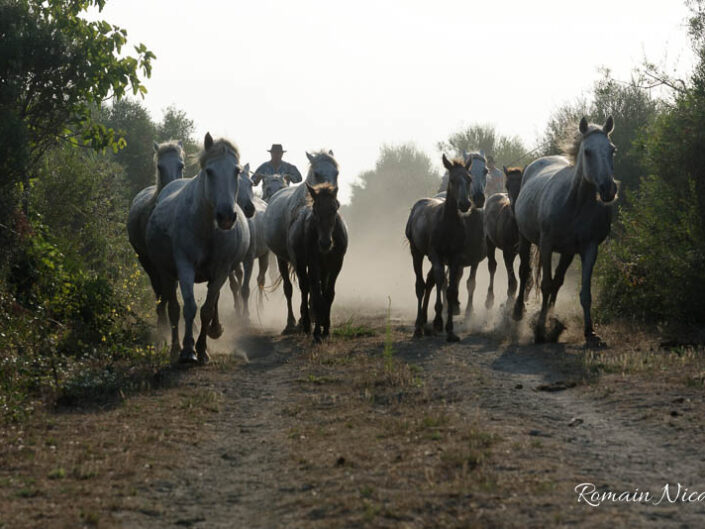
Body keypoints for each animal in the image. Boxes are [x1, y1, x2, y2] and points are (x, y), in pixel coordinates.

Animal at [127, 140, 184, 330]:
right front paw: (163, 324)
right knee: (158, 287)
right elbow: (163, 291)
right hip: (145, 259)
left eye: (181, 165)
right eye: (159, 166)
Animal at [144, 133, 252, 364]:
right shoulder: (185, 266)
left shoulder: (221, 270)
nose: (226, 217)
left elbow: (207, 309)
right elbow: (189, 307)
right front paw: (187, 350)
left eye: (236, 171)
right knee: (174, 308)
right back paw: (175, 347)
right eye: (209, 171)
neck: (206, 228)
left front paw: (202, 350)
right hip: (166, 272)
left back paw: (215, 330)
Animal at [266, 148, 340, 332]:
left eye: (336, 172)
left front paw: (314, 315)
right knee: (288, 288)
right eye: (317, 173)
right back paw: (291, 322)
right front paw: (303, 319)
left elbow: (317, 285)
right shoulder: (297, 259)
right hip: (281, 259)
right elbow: (303, 285)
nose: (332, 198)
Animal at [512, 116, 616, 346]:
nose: (608, 190)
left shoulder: (589, 249)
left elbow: (584, 292)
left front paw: (590, 332)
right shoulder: (547, 245)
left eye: (612, 149)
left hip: (567, 253)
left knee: (558, 282)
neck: (575, 203)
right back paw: (518, 312)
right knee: (525, 272)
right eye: (587, 151)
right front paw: (540, 330)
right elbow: (545, 284)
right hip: (525, 239)